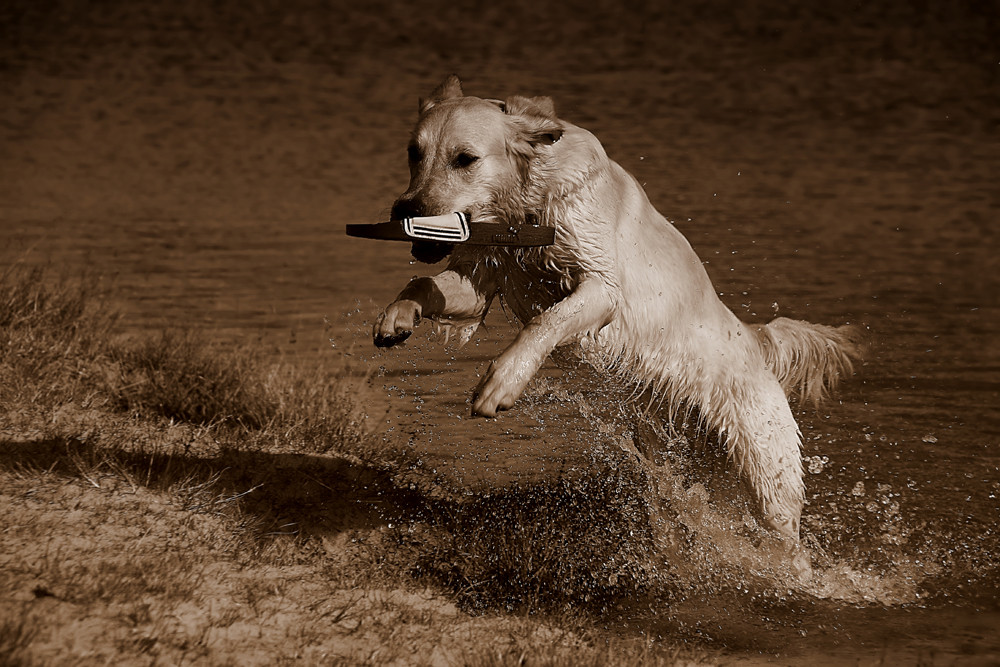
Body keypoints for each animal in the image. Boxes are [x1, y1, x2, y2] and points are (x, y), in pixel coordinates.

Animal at [372, 72, 864, 576]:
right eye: (414, 152)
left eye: (465, 159)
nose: (404, 210)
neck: (526, 205)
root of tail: (756, 341)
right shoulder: (479, 279)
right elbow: (421, 283)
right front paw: (396, 318)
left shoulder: (602, 287)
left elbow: (546, 323)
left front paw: (502, 381)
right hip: (677, 456)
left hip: (767, 472)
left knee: (789, 542)